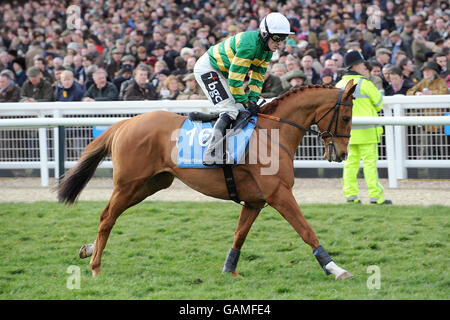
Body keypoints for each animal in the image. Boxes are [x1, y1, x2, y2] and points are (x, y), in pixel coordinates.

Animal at [57, 80, 356, 280]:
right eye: (346, 116)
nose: (341, 153)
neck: (273, 132)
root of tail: (125, 123)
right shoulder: (279, 194)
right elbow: (306, 230)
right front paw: (336, 268)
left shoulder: (255, 201)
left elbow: (239, 234)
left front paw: (229, 270)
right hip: (129, 183)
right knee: (107, 217)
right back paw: (95, 266)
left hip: (151, 184)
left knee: (109, 215)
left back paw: (88, 249)